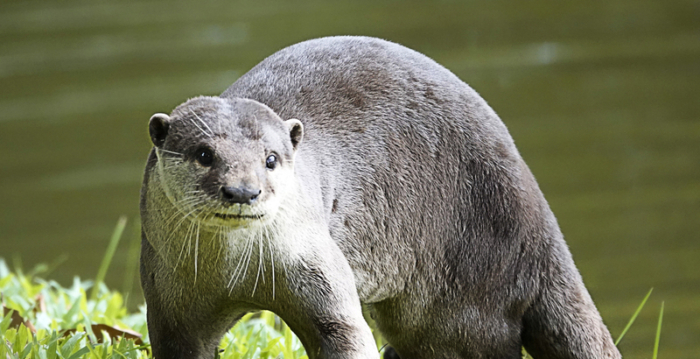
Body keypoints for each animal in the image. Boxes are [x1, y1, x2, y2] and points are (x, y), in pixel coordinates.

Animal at [139, 34, 620, 359]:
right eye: (205, 154)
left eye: (271, 159)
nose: (243, 190)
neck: (235, 272)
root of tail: (539, 223)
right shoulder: (169, 301)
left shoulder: (314, 265)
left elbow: (343, 332)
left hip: (468, 297)